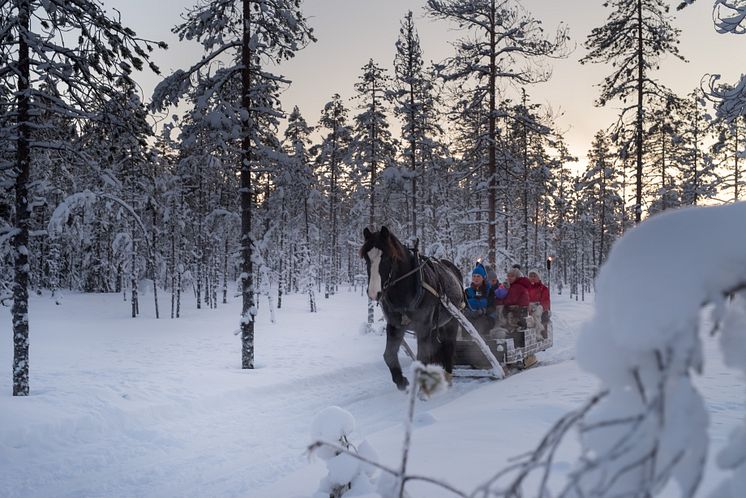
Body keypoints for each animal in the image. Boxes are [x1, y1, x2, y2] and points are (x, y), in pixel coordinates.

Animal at [358, 224, 462, 392]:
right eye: (366, 258)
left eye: (387, 257)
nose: (374, 293)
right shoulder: (395, 325)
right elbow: (389, 355)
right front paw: (402, 381)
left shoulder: (423, 327)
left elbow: (422, 357)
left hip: (452, 322)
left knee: (449, 347)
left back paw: (447, 377)